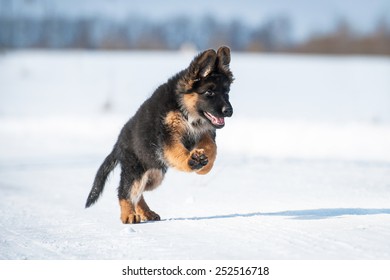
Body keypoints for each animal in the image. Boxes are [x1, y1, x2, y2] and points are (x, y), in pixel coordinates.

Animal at [85, 46, 233, 225]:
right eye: (209, 92)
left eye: (227, 92)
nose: (229, 111)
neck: (184, 108)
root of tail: (118, 143)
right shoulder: (167, 135)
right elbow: (176, 150)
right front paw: (192, 160)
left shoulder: (205, 132)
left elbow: (212, 147)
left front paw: (204, 166)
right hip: (136, 170)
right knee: (125, 190)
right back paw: (128, 215)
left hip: (155, 175)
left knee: (139, 192)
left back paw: (146, 212)